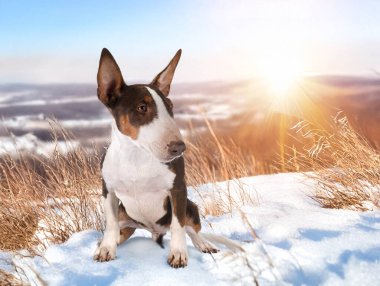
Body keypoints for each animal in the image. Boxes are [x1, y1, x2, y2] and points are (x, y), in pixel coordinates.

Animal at [92, 48, 223, 268]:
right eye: (142, 107)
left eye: (170, 105)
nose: (179, 148)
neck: (136, 156)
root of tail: (154, 231)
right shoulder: (108, 190)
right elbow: (110, 223)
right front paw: (106, 250)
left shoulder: (178, 189)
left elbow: (178, 225)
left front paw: (178, 255)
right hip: (124, 213)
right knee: (122, 230)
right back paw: (108, 242)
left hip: (191, 206)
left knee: (192, 229)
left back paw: (204, 244)